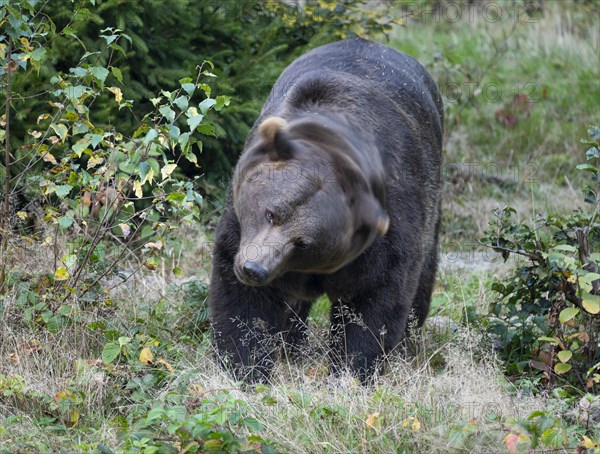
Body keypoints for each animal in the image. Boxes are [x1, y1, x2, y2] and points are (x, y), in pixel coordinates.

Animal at [209, 38, 442, 384]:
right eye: (271, 212)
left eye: (302, 242)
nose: (255, 268)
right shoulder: (238, 225)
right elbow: (243, 303)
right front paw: (245, 368)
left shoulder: (386, 226)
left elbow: (372, 299)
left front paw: (351, 371)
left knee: (422, 278)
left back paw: (405, 347)